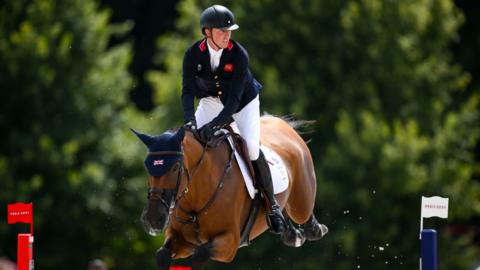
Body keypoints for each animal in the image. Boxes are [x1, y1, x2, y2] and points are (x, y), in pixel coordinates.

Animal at [132, 115, 326, 268]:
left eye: (175, 167)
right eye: (147, 167)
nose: (153, 219)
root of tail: (283, 124)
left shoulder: (229, 243)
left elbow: (200, 255)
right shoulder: (182, 240)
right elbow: (162, 255)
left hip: (301, 203)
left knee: (303, 213)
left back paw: (313, 229)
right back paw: (290, 232)